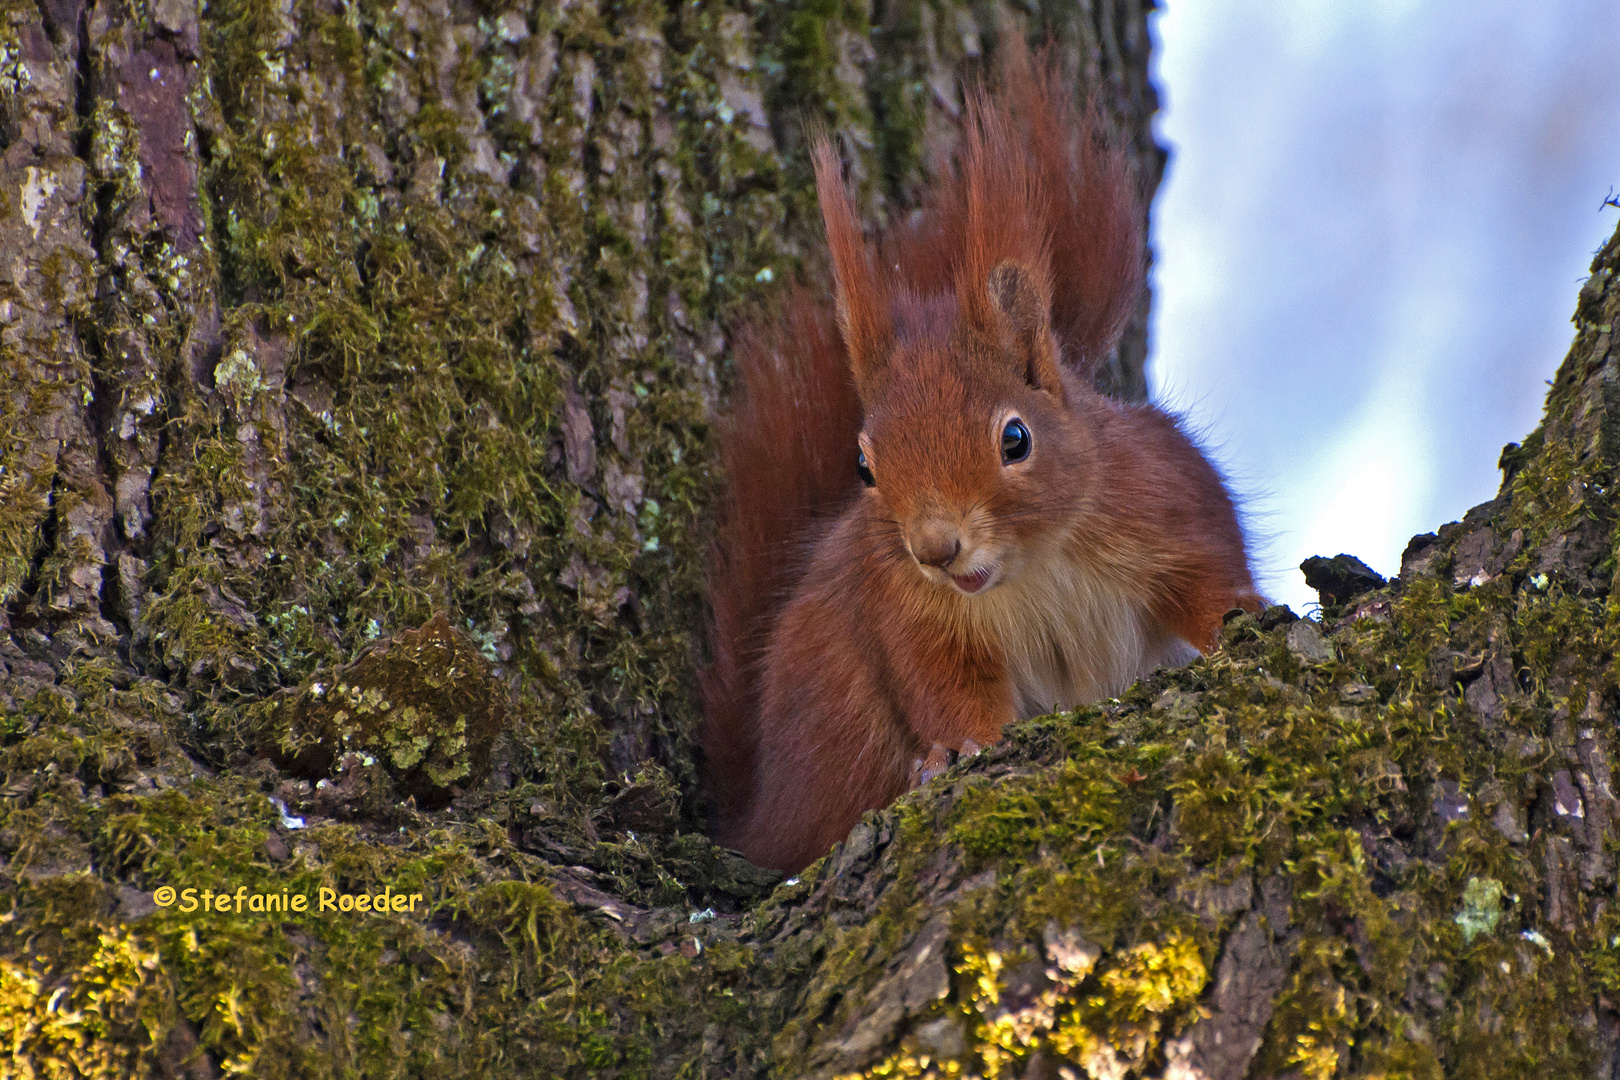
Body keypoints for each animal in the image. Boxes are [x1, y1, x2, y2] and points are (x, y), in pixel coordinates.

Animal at [696, 46, 1263, 874]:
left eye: (1015, 439)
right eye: (863, 467)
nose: (935, 549)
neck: (1033, 569)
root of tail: (758, 814)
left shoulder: (1169, 499)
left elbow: (1211, 578)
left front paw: (1250, 619)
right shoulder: (910, 616)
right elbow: (949, 693)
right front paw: (959, 751)